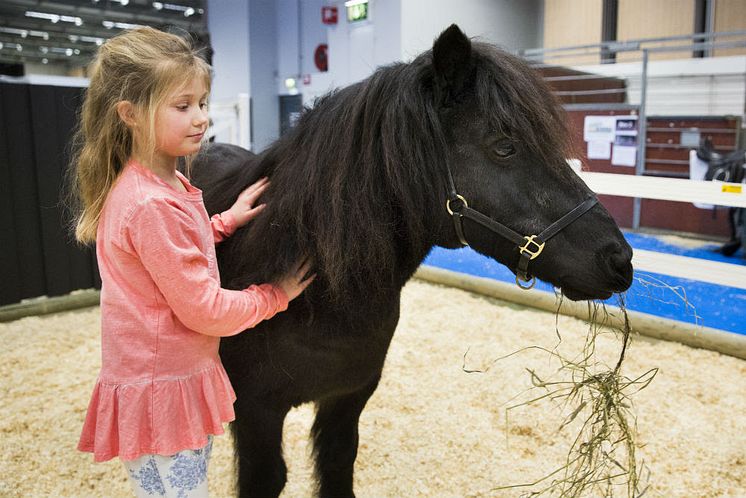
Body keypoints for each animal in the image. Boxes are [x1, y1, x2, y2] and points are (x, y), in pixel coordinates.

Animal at [189, 24, 632, 498]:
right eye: (505, 147)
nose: (620, 260)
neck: (321, 298)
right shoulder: (257, 414)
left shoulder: (347, 400)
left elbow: (337, 463)